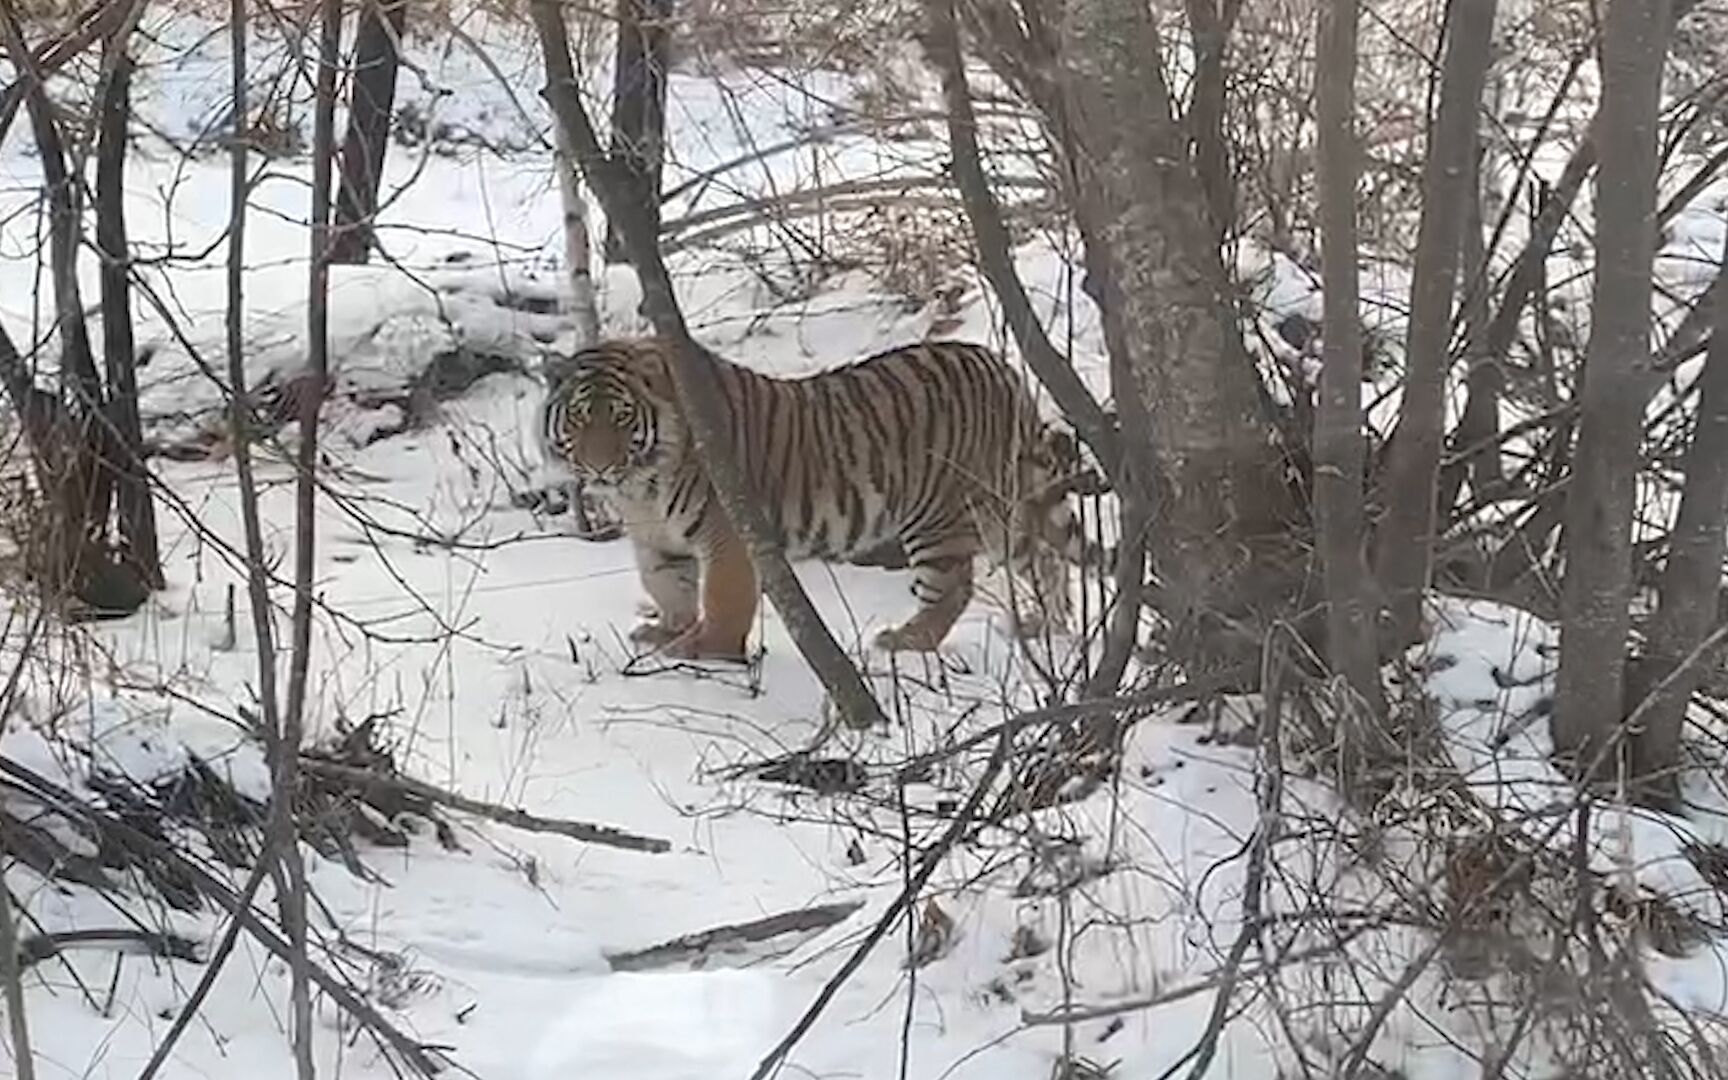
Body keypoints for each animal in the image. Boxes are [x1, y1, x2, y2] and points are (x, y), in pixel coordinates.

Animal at [539, 335, 1105, 656]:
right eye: (580, 418)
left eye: (621, 418)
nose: (598, 465)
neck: (640, 488)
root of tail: (999, 367)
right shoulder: (657, 539)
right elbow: (666, 586)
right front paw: (668, 631)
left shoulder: (728, 534)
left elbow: (722, 597)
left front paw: (705, 649)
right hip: (1003, 509)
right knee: (1046, 559)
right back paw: (1046, 626)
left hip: (938, 514)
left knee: (953, 587)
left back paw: (906, 642)